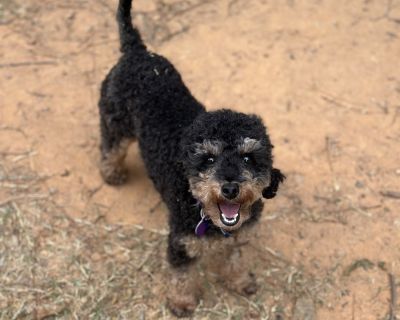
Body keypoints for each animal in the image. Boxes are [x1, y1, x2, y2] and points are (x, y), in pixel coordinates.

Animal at [97, 0, 284, 316]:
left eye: (248, 158)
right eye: (208, 159)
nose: (230, 188)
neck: (213, 221)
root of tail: (137, 51)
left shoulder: (238, 237)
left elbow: (235, 260)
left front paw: (241, 282)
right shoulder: (181, 242)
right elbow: (182, 275)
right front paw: (182, 303)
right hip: (116, 121)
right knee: (111, 148)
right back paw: (112, 173)